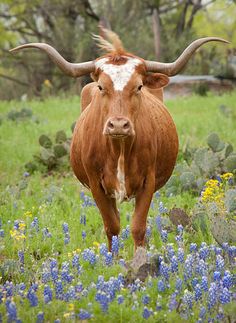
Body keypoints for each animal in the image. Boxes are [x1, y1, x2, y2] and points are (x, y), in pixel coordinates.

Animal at [9, 29, 229, 251]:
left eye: (139, 86)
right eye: (101, 87)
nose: (118, 125)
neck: (119, 149)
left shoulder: (148, 182)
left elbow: (138, 227)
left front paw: (140, 256)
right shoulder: (96, 185)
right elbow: (112, 226)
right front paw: (113, 256)